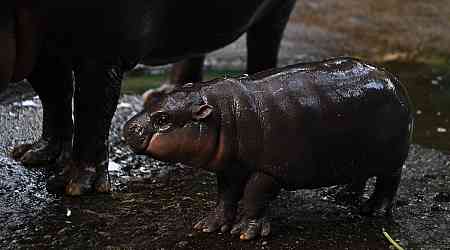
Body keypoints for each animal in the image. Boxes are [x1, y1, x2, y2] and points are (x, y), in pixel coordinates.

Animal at [1, 0, 298, 195]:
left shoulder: (101, 51)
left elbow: (91, 109)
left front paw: (73, 186)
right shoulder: (42, 50)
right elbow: (55, 96)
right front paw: (33, 155)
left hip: (277, 10)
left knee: (265, 43)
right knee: (194, 46)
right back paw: (162, 94)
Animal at [124, 57, 414, 240]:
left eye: (163, 119)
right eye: (154, 99)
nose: (128, 127)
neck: (224, 114)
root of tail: (393, 78)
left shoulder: (269, 171)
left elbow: (254, 196)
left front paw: (244, 233)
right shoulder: (231, 168)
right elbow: (225, 196)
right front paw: (208, 226)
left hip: (392, 157)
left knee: (389, 181)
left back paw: (373, 211)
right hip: (357, 153)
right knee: (360, 174)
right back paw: (342, 195)